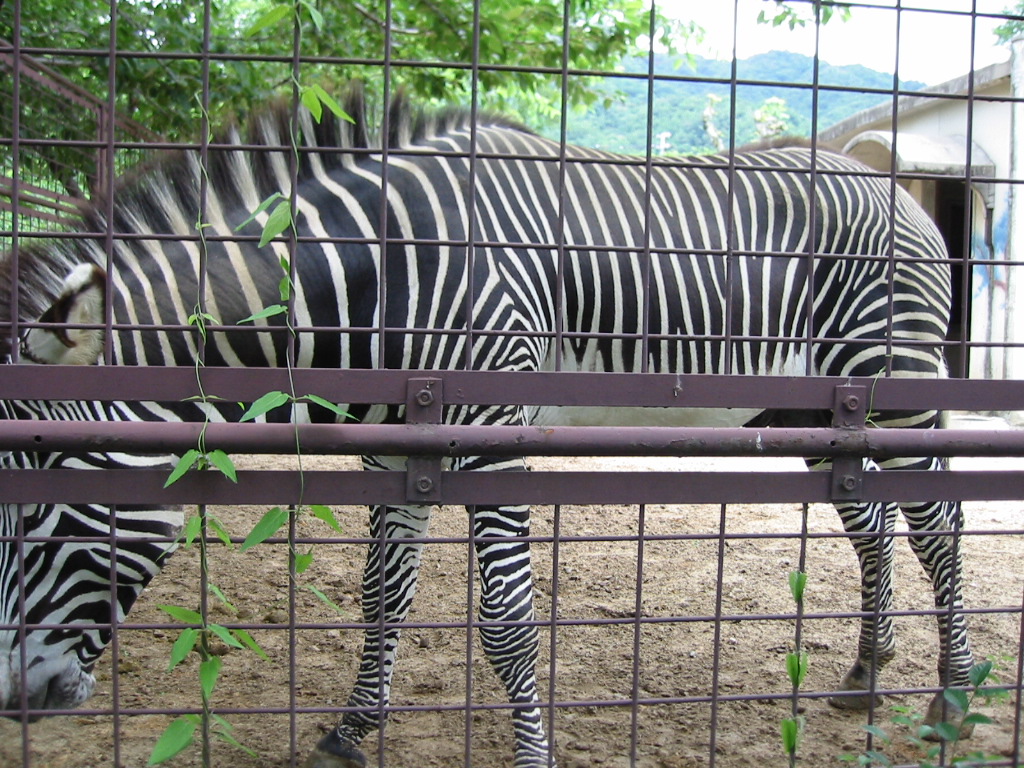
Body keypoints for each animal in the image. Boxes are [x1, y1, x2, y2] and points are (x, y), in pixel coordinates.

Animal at [0, 83, 970, 768]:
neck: (376, 281)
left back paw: (951, 703)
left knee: (939, 525)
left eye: (39, 503)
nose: (16, 700)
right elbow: (382, 592)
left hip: (895, 380)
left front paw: (530, 756)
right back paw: (866, 673)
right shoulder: (399, 450)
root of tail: (896, 188)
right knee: (872, 523)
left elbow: (506, 620)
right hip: (816, 407)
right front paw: (349, 732)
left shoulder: (494, 436)